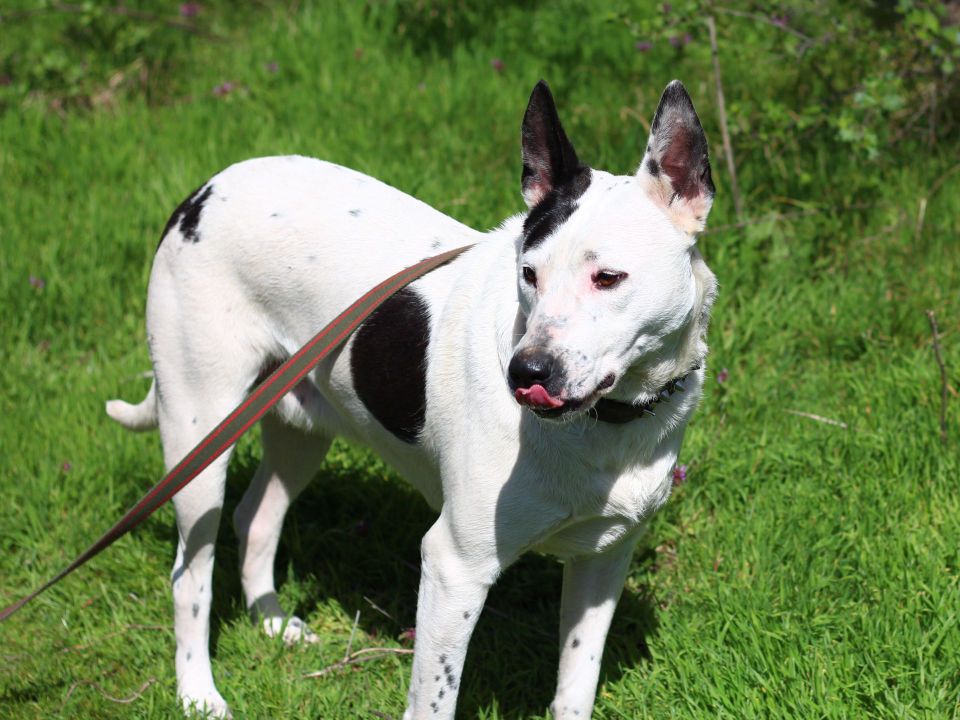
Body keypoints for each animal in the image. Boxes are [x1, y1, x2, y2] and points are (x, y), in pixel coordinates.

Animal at [109, 76, 716, 716]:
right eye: (528, 273)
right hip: (199, 441)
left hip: (299, 429)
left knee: (256, 518)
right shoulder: (454, 568)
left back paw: (272, 622)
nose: (525, 371)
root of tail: (201, 194)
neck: (606, 424)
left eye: (608, 278)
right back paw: (198, 692)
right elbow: (433, 700)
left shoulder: (602, 561)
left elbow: (576, 684)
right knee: (190, 573)